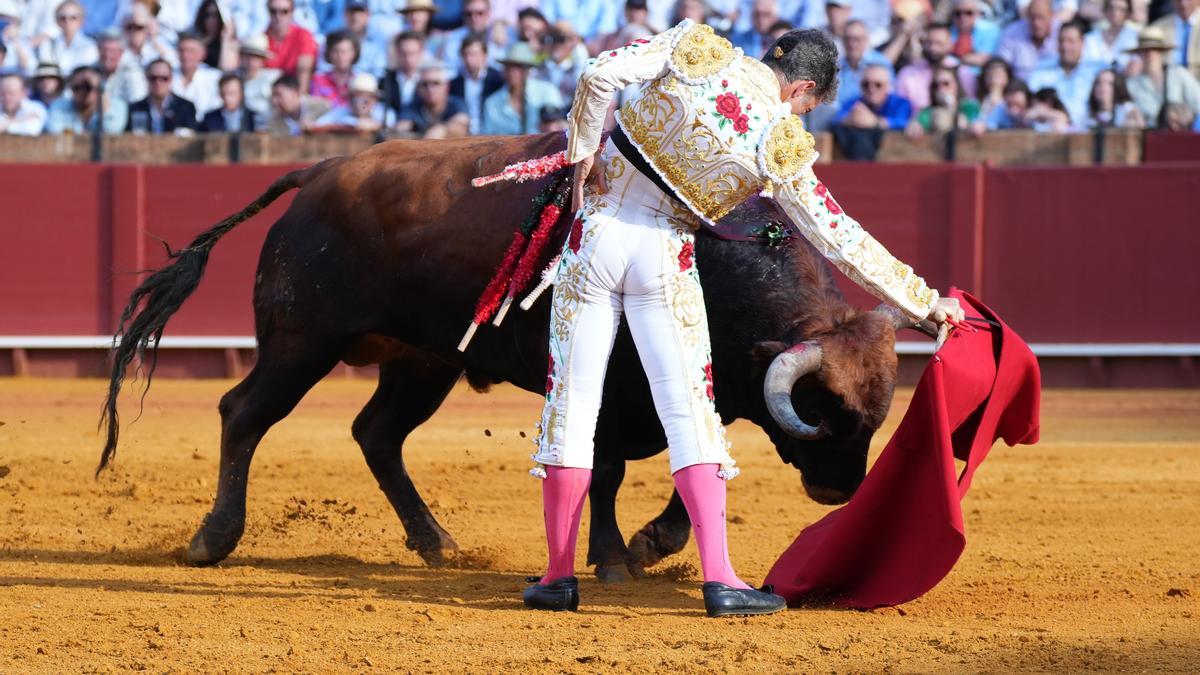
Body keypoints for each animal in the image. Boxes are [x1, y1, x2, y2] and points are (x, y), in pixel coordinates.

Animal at [103, 131, 926, 578]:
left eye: (878, 415)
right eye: (819, 408)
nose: (839, 491)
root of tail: (321, 172)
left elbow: (700, 459)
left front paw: (650, 543)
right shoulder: (610, 387)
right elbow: (606, 470)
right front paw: (613, 557)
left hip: (421, 361)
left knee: (376, 433)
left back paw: (436, 542)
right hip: (301, 342)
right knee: (243, 413)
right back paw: (212, 540)